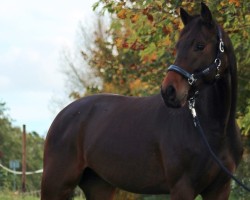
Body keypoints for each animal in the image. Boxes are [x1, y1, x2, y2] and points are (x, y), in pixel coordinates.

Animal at [41, 2, 242, 198]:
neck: (213, 128)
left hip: (99, 185)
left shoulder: (220, 189)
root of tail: (62, 115)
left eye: (200, 45)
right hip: (56, 185)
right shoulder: (182, 187)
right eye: (177, 47)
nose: (169, 91)